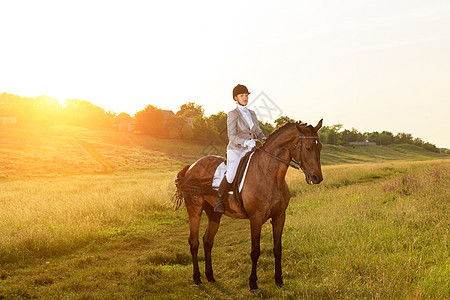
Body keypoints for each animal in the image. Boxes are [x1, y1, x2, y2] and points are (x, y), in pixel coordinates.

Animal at [171, 119, 324, 290]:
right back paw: (197, 279)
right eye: (308, 148)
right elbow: (255, 251)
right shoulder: (256, 219)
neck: (269, 174)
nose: (317, 178)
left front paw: (279, 281)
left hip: (214, 213)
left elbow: (277, 248)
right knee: (194, 242)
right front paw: (253, 284)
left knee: (207, 241)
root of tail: (191, 167)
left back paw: (210, 277)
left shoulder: (279, 217)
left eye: (320, 147)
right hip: (194, 210)